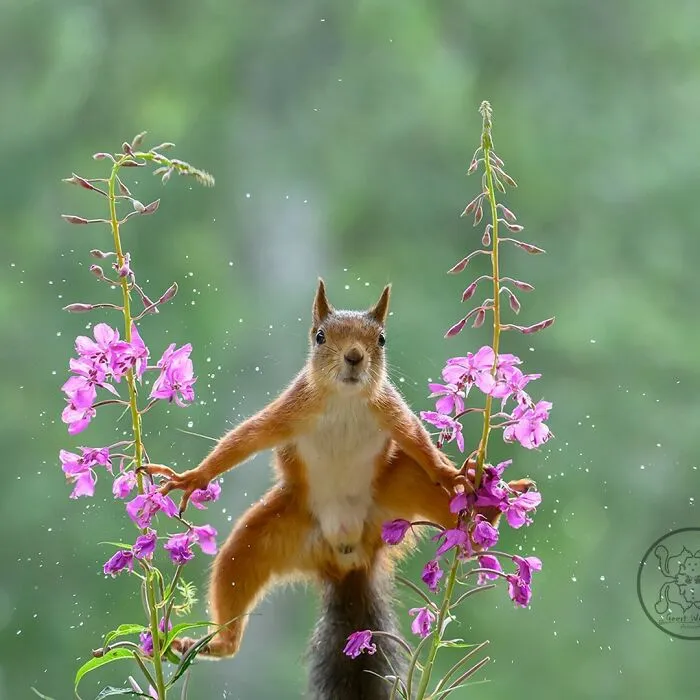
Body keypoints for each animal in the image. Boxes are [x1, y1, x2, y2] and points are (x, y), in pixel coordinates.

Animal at [147, 280, 532, 699]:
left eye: (381, 339)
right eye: (319, 336)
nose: (354, 356)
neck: (345, 401)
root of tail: (349, 557)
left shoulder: (391, 411)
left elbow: (419, 443)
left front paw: (448, 474)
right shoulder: (291, 411)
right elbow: (245, 439)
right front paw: (192, 478)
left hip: (403, 490)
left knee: (457, 520)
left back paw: (489, 503)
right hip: (264, 537)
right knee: (235, 574)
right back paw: (218, 644)